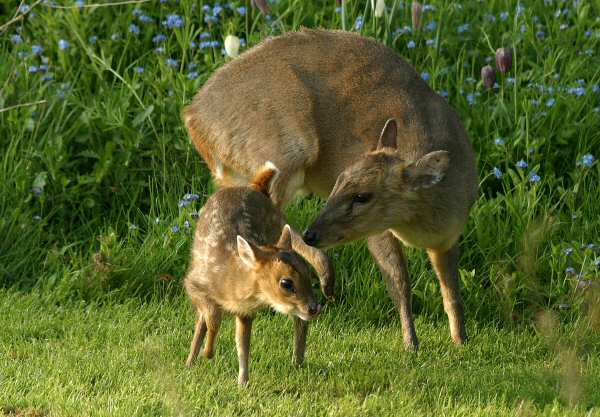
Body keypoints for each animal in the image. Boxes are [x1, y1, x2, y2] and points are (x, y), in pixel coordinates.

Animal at [183, 27, 478, 350]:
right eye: (339, 180)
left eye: (362, 196)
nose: (314, 233)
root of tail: (193, 118)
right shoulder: (378, 231)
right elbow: (399, 282)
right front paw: (411, 344)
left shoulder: (448, 237)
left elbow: (452, 291)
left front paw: (461, 340)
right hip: (284, 152)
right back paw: (323, 276)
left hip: (239, 174)